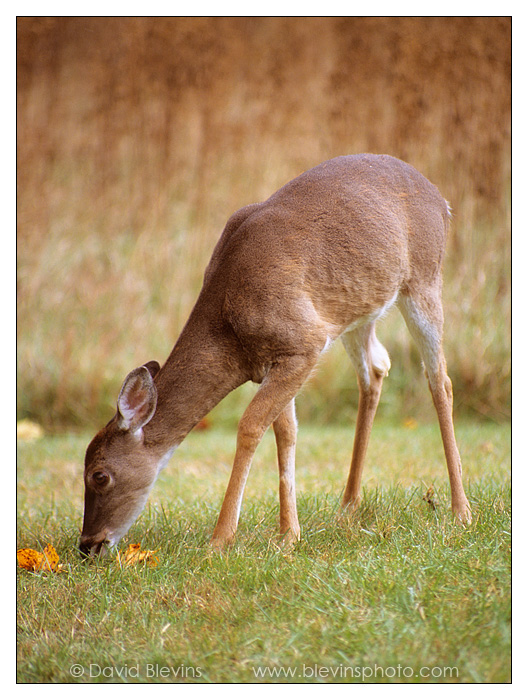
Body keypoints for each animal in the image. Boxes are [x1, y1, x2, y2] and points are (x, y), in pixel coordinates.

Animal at [79, 154, 470, 556]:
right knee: (376, 368)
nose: (88, 544)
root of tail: (442, 201)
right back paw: (348, 506)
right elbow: (287, 431)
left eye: (99, 475)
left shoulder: (302, 344)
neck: (230, 328)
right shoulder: (276, 359)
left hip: (424, 279)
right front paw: (289, 534)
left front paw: (222, 538)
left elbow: (251, 426)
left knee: (439, 380)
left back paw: (460, 512)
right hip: (357, 310)